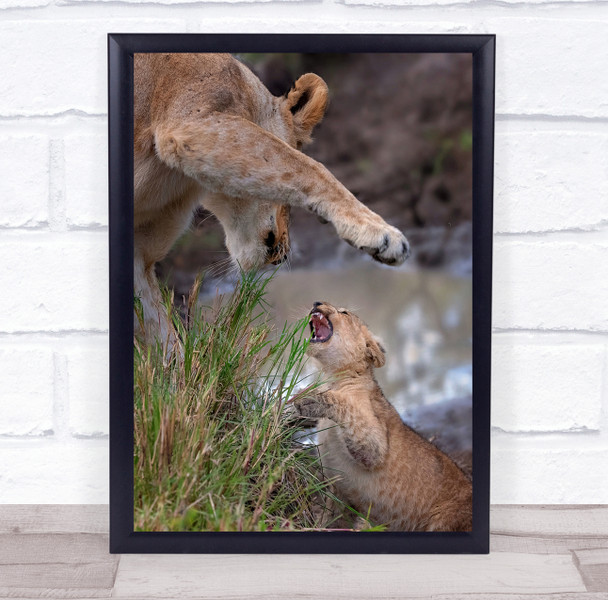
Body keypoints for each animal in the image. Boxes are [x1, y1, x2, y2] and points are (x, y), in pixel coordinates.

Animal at [132, 54, 408, 350]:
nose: (283, 255)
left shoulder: (140, 253)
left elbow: (163, 340)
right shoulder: (190, 121)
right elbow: (305, 166)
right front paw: (381, 234)